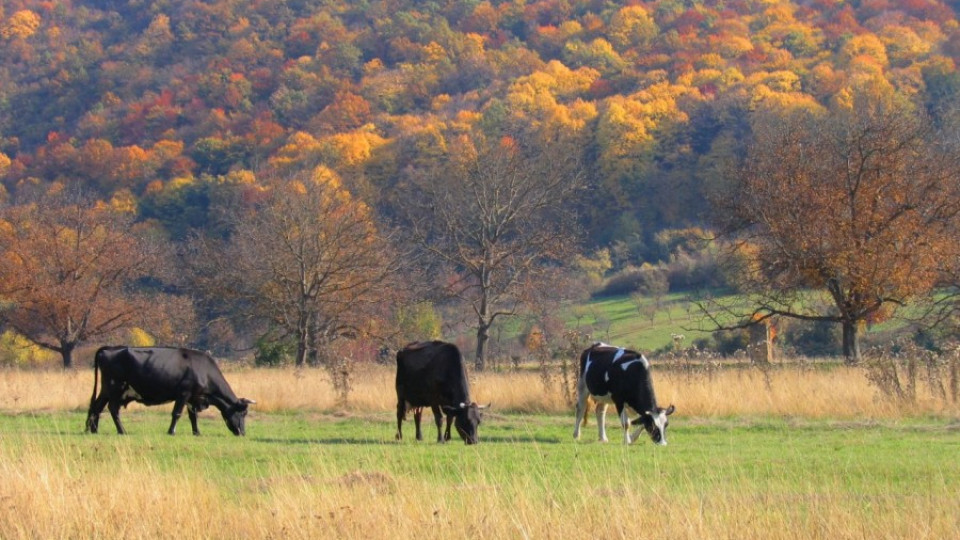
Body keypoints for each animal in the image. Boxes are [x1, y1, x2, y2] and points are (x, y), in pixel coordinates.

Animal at [85, 348, 255, 436]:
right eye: (243, 413)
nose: (242, 432)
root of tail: (109, 349)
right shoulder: (183, 394)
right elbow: (177, 414)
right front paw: (171, 431)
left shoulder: (192, 397)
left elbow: (193, 416)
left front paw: (197, 432)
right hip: (115, 387)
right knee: (113, 409)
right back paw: (122, 431)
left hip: (106, 390)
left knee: (97, 407)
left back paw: (94, 430)